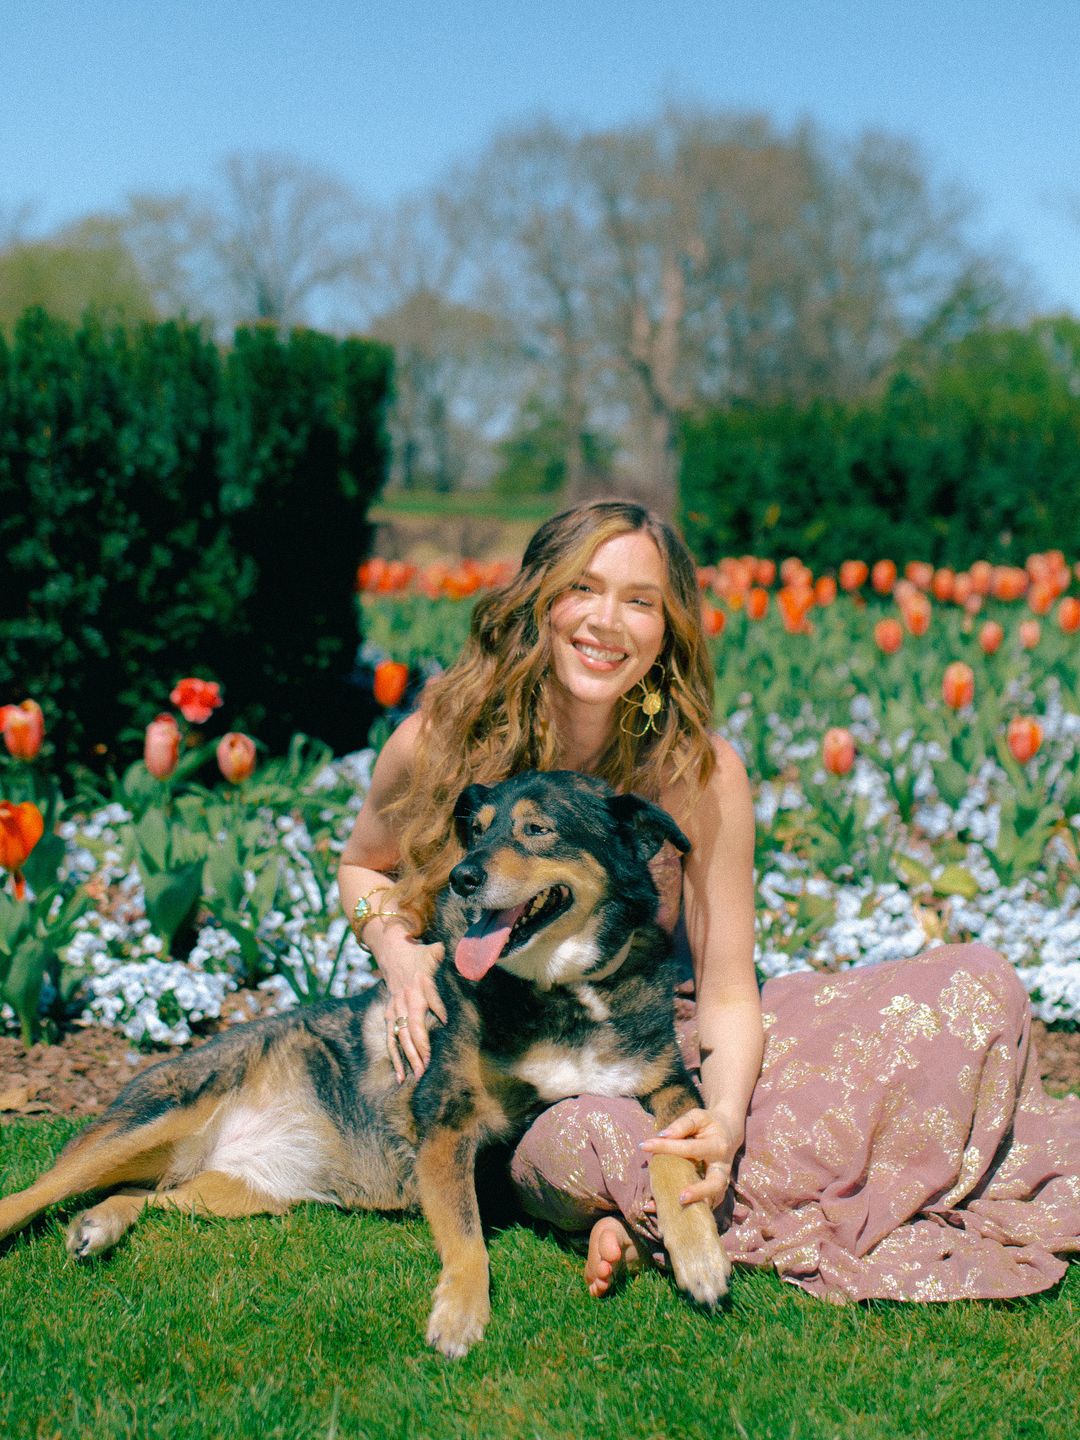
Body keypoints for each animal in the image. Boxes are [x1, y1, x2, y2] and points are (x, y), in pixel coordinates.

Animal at [0, 771, 737, 1353]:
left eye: (536, 830)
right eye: (476, 833)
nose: (463, 877)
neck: (562, 993)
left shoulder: (671, 1086)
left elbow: (676, 1154)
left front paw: (699, 1256)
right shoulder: (446, 1121)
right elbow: (466, 1237)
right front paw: (460, 1313)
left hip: (234, 1195)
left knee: (152, 1194)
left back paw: (100, 1224)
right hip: (155, 1118)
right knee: (39, 1189)